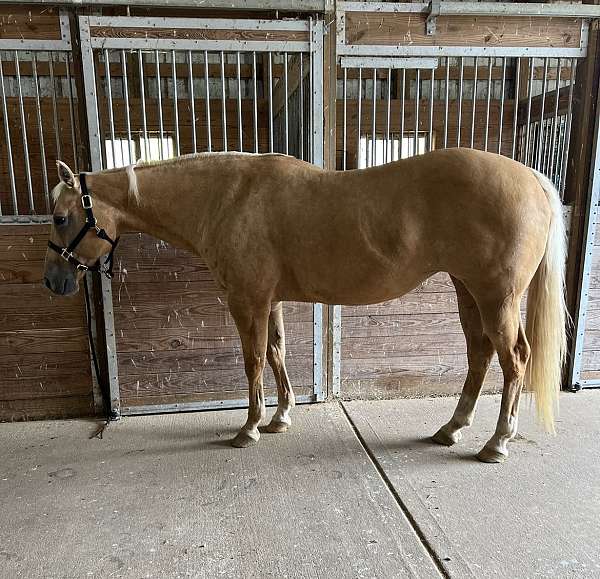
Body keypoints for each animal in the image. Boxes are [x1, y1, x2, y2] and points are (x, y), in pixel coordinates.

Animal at [44, 148, 564, 462]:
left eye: (61, 216)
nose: (54, 280)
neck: (228, 198)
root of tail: (533, 180)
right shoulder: (268, 300)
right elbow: (276, 353)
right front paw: (280, 418)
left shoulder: (247, 299)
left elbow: (254, 360)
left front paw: (249, 428)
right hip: (467, 290)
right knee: (480, 355)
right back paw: (452, 428)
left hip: (496, 297)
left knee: (515, 358)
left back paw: (497, 442)